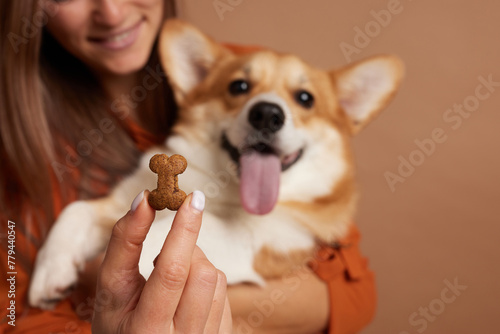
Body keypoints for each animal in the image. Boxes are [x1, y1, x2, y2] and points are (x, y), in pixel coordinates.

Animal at [28, 19, 402, 310]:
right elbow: (74, 211)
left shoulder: (264, 241)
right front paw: (50, 271)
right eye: (239, 86)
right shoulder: (123, 201)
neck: (223, 187)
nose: (267, 114)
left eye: (305, 98)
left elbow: (182, 229)